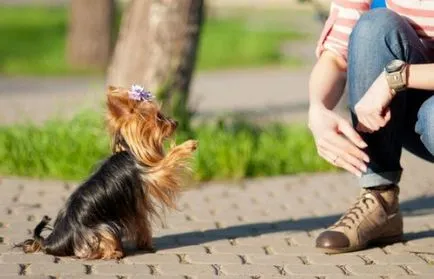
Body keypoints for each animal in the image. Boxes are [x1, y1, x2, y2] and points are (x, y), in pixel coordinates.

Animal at [17, 85, 198, 260]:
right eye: (159, 117)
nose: (175, 122)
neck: (129, 149)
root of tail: (52, 242)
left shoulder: (137, 205)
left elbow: (142, 223)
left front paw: (145, 244)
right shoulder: (153, 174)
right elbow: (168, 161)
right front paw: (187, 145)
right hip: (101, 230)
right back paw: (114, 253)